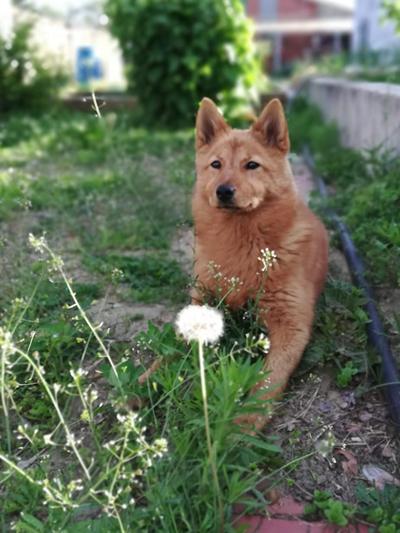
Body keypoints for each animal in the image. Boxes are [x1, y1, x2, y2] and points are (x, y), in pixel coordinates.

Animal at [191, 96, 328, 428]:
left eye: (251, 165)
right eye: (216, 164)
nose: (223, 191)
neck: (243, 241)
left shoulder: (291, 327)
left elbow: (268, 380)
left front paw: (245, 421)